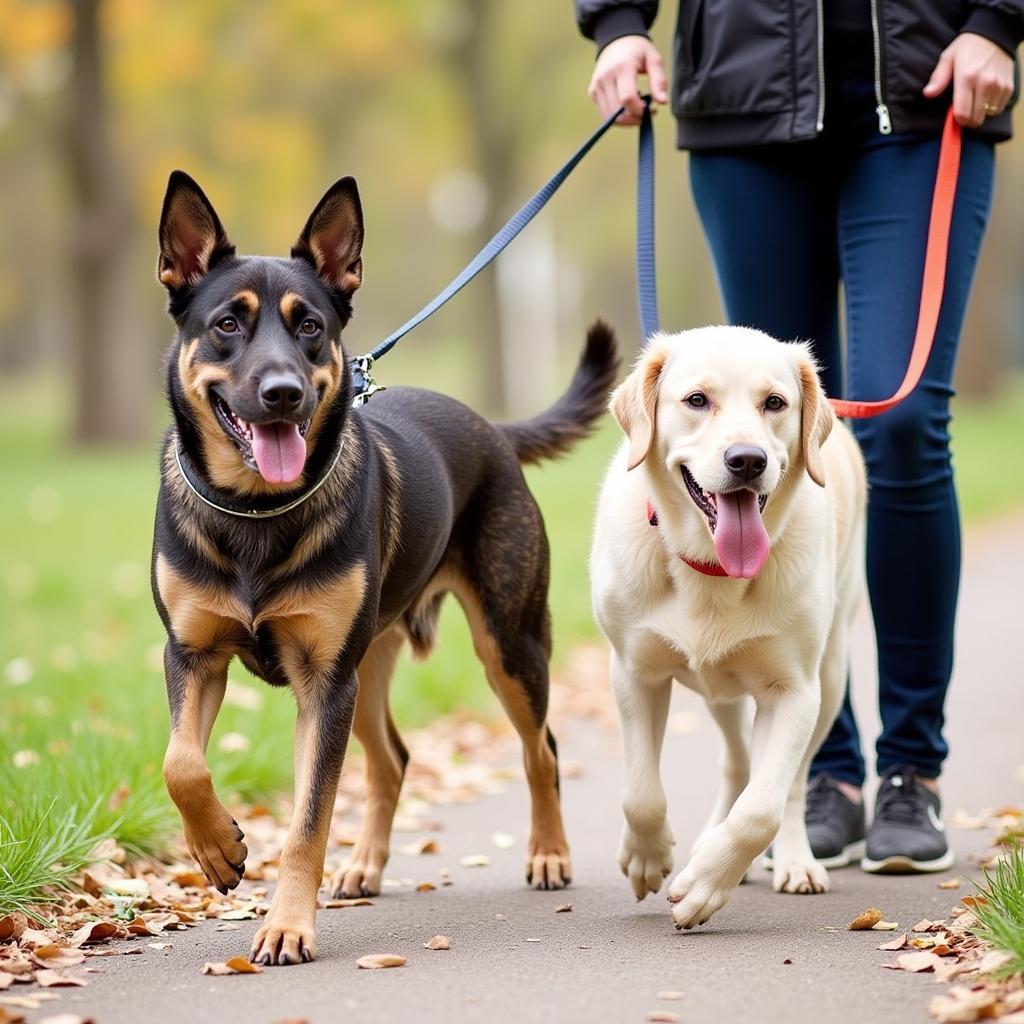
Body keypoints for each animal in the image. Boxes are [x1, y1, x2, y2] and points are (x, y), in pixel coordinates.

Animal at [150, 172, 614, 962]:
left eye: (310, 326)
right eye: (227, 324)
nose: (283, 393)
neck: (255, 515)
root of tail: (493, 429)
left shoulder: (323, 680)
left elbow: (308, 818)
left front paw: (286, 925)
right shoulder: (193, 653)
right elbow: (180, 764)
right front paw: (217, 849)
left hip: (506, 644)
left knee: (542, 748)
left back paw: (549, 854)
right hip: (368, 668)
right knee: (392, 761)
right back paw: (363, 866)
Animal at [593, 325, 864, 929]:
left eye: (775, 403)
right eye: (697, 400)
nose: (747, 460)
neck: (710, 569)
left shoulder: (793, 691)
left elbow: (762, 807)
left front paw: (704, 886)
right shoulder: (632, 671)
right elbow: (640, 792)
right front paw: (647, 857)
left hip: (831, 675)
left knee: (788, 784)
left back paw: (792, 861)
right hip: (722, 692)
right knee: (738, 759)